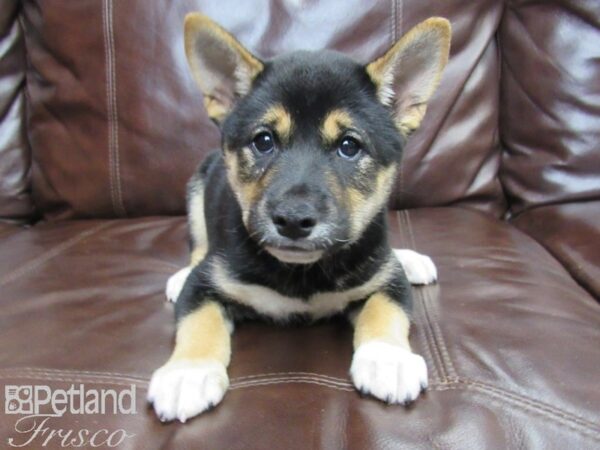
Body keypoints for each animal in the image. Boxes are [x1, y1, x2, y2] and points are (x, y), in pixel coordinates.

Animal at [150, 13, 450, 422]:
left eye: (349, 146)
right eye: (263, 141)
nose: (293, 220)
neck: (302, 274)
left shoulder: (387, 283)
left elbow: (386, 309)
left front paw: (389, 359)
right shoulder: (207, 283)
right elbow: (198, 322)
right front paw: (187, 374)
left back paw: (408, 258)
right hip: (198, 186)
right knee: (198, 246)